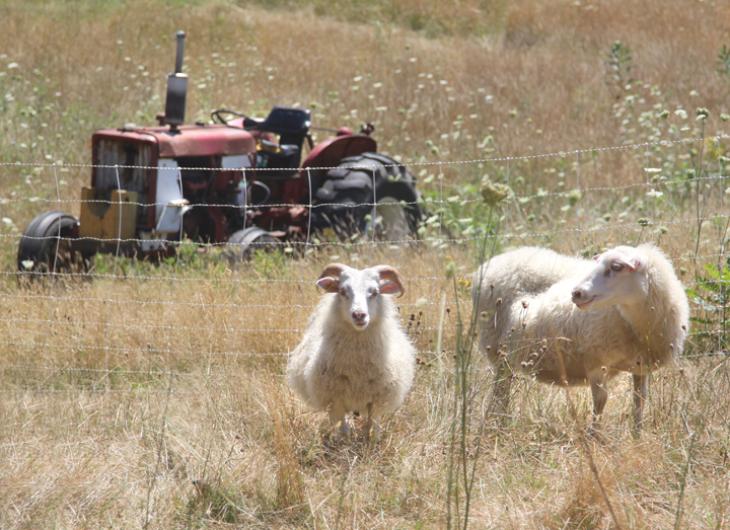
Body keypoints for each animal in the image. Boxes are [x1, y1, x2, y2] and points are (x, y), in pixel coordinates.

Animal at [287, 263, 416, 439]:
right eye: (342, 291)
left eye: (375, 292)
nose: (359, 315)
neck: (357, 368)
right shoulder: (336, 399)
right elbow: (343, 427)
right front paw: (344, 441)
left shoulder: (377, 399)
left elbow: (373, 426)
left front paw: (372, 441)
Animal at [473, 244, 689, 435]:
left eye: (616, 267)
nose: (576, 293)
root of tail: (493, 262)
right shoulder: (595, 359)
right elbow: (601, 400)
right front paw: (595, 437)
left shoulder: (640, 365)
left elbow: (639, 401)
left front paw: (637, 437)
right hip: (498, 350)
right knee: (500, 392)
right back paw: (498, 425)